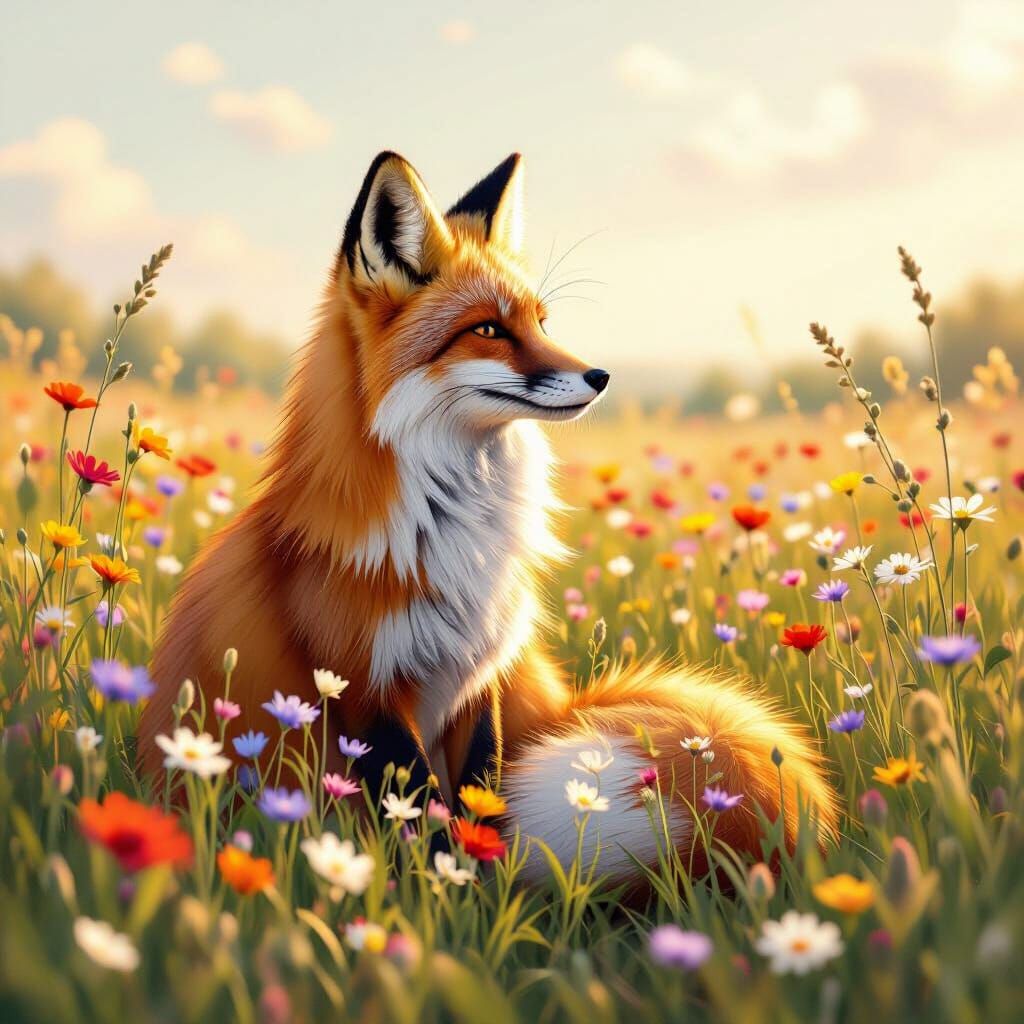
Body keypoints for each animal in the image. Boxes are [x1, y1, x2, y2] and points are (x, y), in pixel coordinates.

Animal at [139, 151, 837, 882]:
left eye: (541, 323)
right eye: (487, 330)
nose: (600, 376)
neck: (451, 531)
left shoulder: (484, 675)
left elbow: (482, 786)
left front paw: (482, 873)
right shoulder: (362, 687)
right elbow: (417, 806)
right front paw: (447, 883)